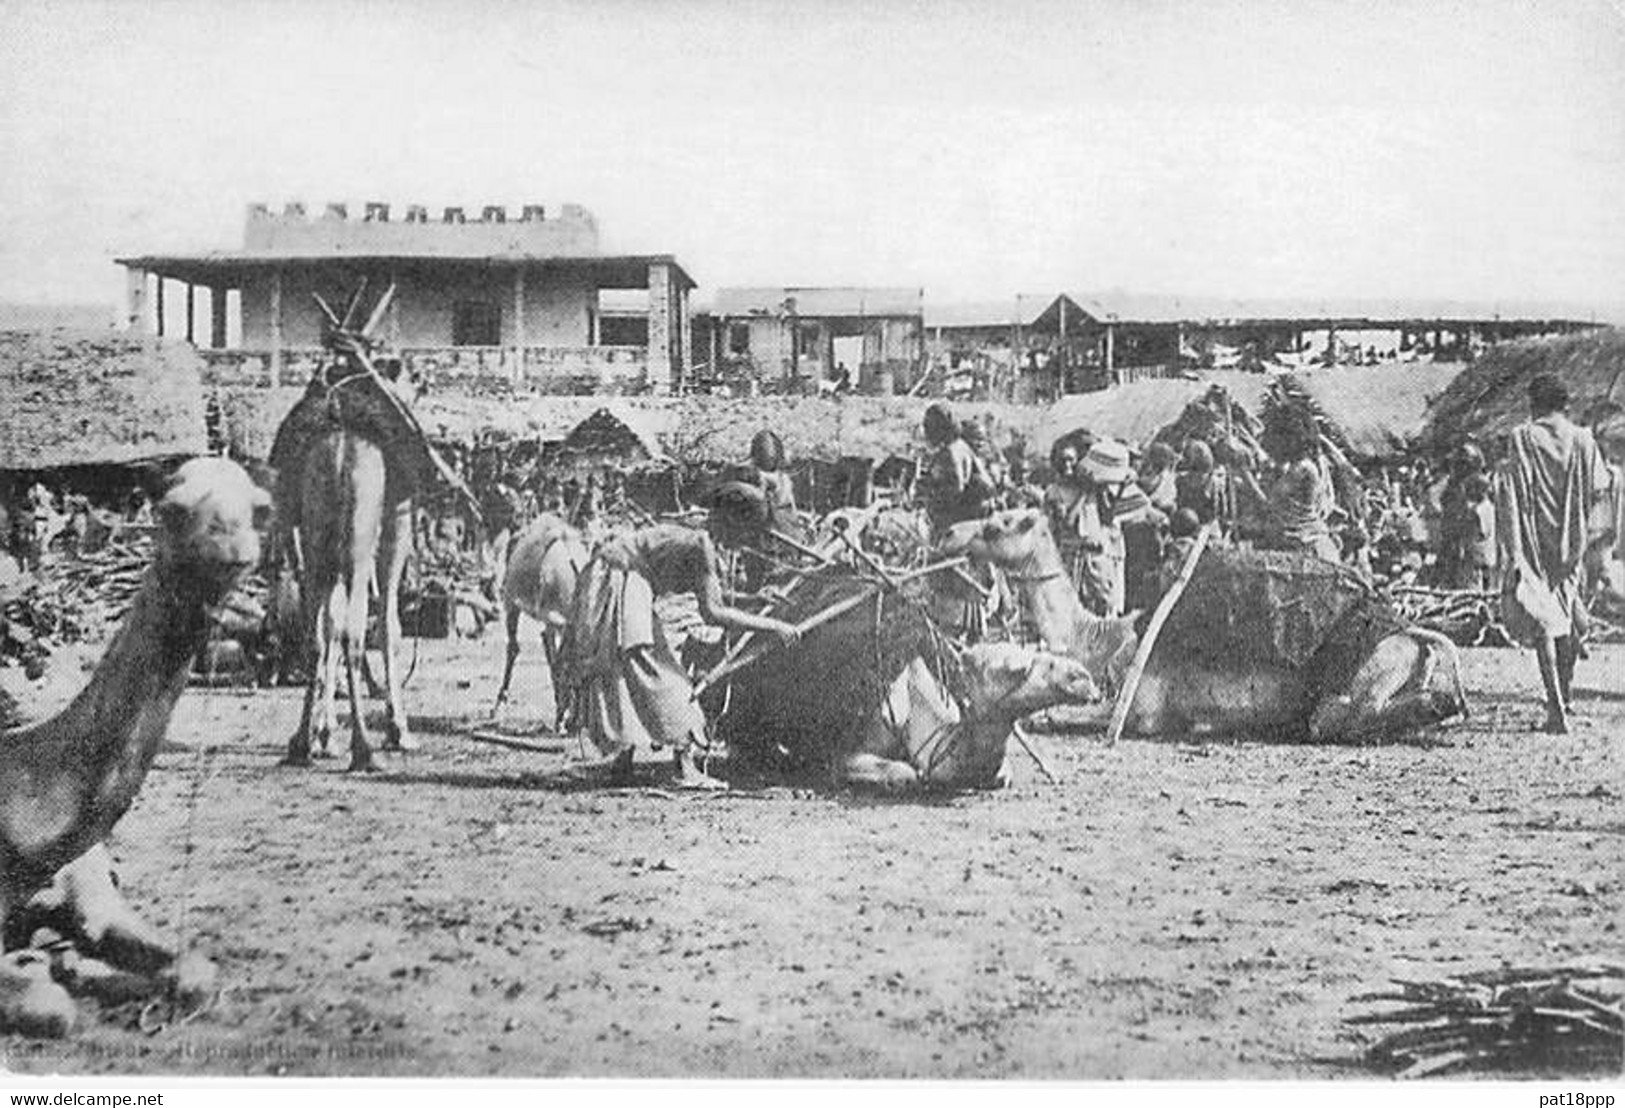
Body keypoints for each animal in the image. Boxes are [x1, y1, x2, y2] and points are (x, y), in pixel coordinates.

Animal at [0, 454, 266, 1026]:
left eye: (261, 509)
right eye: (171, 508)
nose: (232, 545)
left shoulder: (90, 891)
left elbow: (195, 972)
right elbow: (49, 1006)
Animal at [942, 510, 1462, 740]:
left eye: (997, 524)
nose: (949, 531)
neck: (1106, 639)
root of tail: (1410, 632)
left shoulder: (1143, 710)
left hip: (1363, 671)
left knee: (1332, 717)